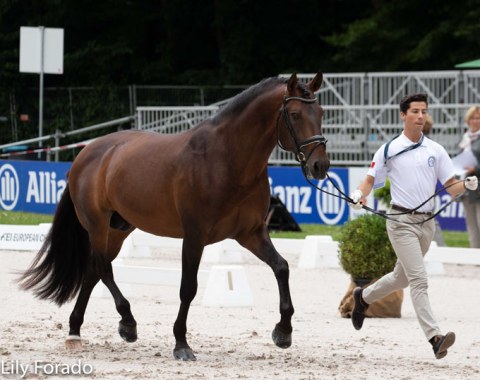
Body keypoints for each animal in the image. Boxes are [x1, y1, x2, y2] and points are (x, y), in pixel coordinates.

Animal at [20, 72, 332, 360]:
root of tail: (87, 154)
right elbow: (188, 288)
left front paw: (283, 332)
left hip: (118, 230)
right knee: (103, 268)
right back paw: (127, 323)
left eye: (320, 113)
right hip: (97, 225)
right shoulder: (194, 236)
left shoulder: (251, 233)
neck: (226, 159)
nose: (320, 166)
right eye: (295, 114)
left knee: (92, 271)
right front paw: (181, 344)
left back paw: (76, 330)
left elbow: (281, 268)